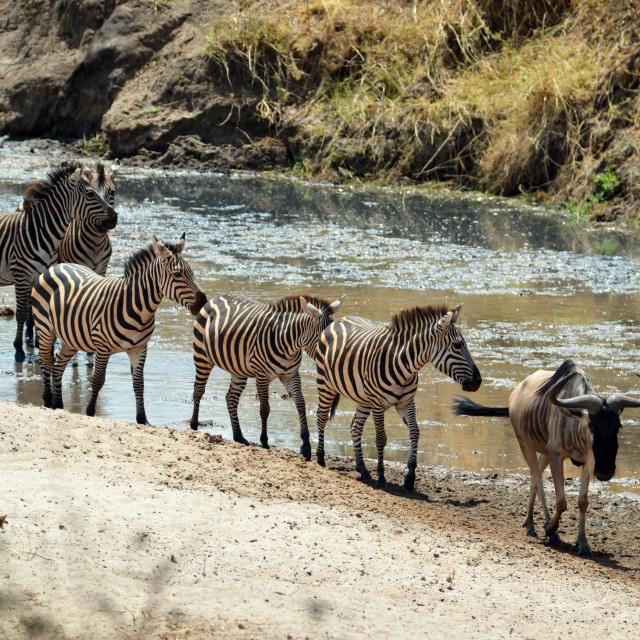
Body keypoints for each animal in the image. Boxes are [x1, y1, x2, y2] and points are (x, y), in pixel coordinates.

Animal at [0, 161, 117, 360]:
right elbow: (21, 313)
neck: (39, 233)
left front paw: (43, 346)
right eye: (90, 194)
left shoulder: (40, 274)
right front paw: (18, 350)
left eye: (113, 193)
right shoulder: (21, 276)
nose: (114, 218)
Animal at [30, 235, 205, 424]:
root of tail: (56, 266)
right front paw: (90, 412)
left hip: (70, 337)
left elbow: (139, 384)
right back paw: (48, 401)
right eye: (177, 274)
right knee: (45, 362)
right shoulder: (102, 347)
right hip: (44, 328)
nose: (203, 302)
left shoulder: (139, 348)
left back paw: (59, 405)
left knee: (57, 366)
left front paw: (142, 419)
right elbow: (98, 380)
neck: (138, 309)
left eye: (192, 273)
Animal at [190, 292, 344, 458]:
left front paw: (306, 446)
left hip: (238, 369)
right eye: (325, 339)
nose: (333, 360)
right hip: (202, 356)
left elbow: (301, 404)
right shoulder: (262, 375)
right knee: (199, 391)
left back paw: (239, 436)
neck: (289, 345)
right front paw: (264, 441)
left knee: (231, 398)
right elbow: (265, 409)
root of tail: (216, 297)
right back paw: (194, 425)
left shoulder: (291, 375)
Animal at [316, 304, 480, 490]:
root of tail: (338, 320)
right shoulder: (378, 404)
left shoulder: (406, 403)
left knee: (355, 427)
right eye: (457, 345)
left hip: (363, 399)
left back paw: (362, 469)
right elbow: (381, 439)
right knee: (321, 418)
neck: (404, 365)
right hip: (325, 384)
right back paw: (320, 458)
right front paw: (381, 476)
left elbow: (415, 432)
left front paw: (410, 477)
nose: (478, 381)